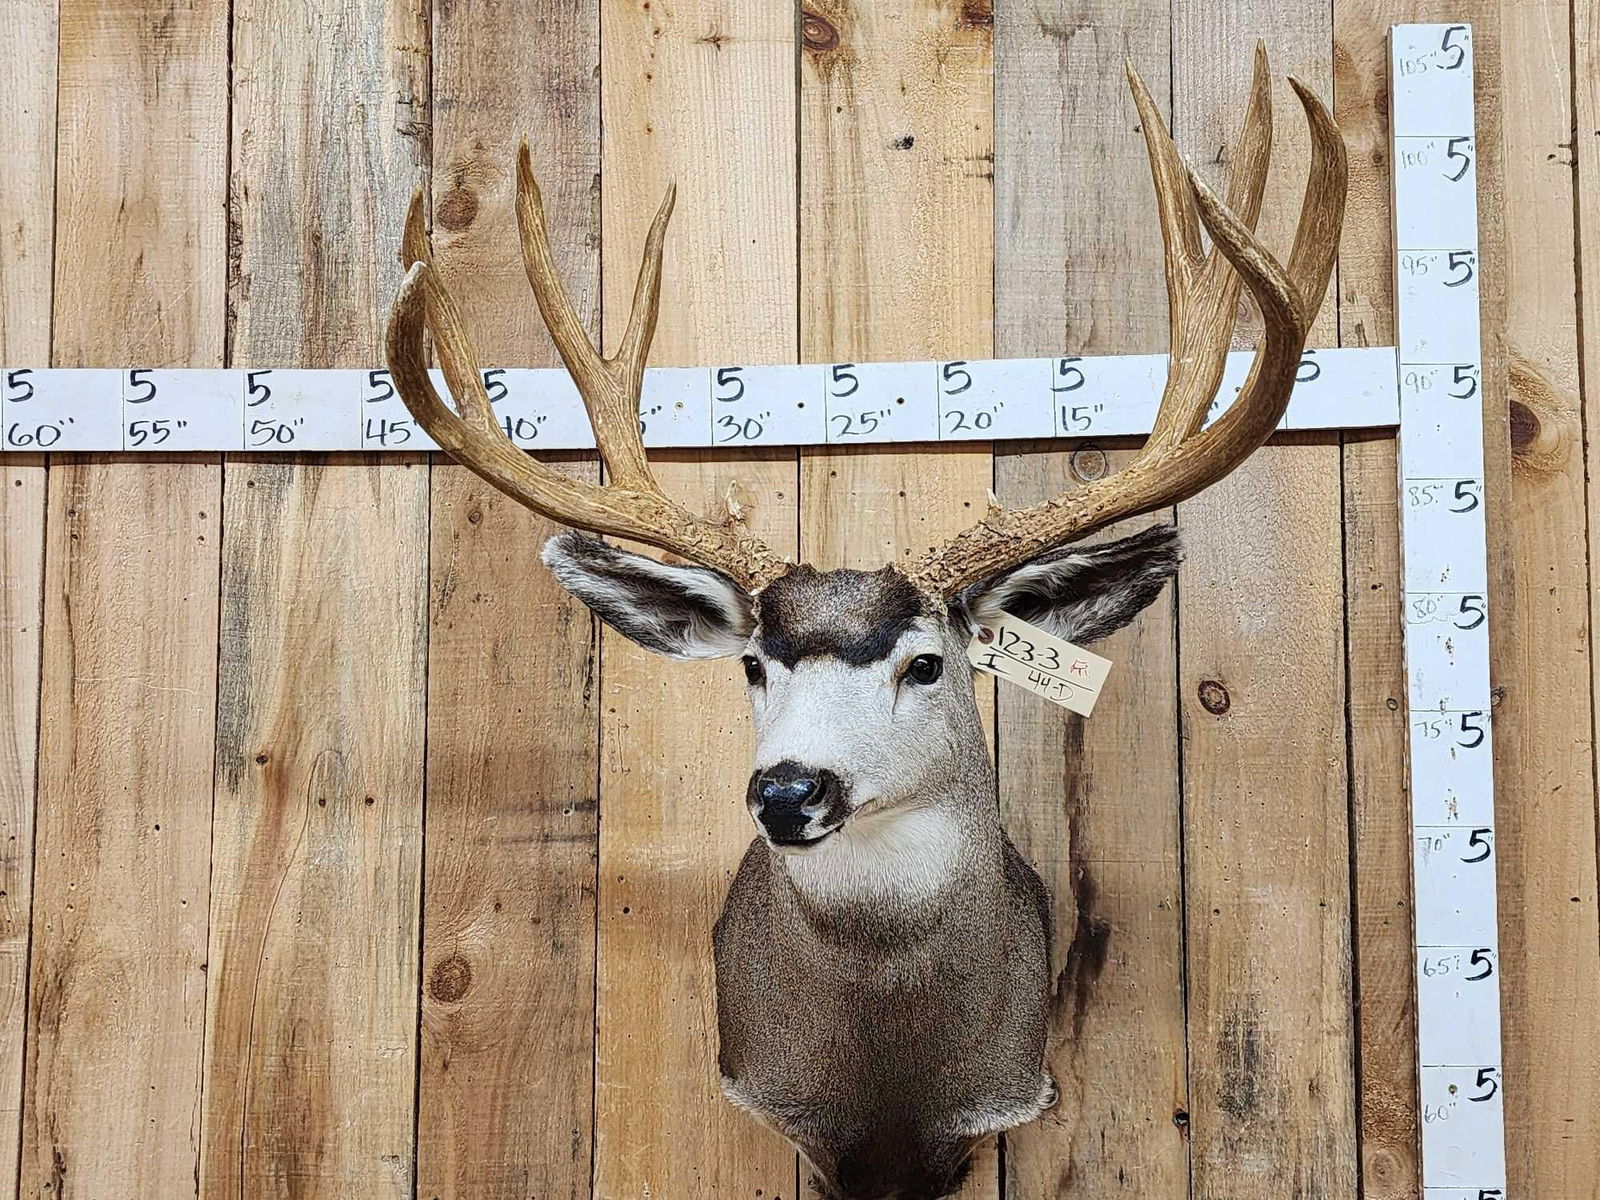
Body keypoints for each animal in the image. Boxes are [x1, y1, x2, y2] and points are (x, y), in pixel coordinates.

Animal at [385, 45, 1345, 1200]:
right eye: (754, 666)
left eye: (926, 665)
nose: (788, 789)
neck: (889, 1092)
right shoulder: (786, 1111)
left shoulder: (990, 1112)